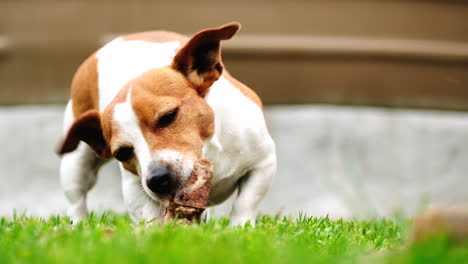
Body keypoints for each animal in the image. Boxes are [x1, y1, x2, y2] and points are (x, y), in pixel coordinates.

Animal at [58, 21, 278, 226]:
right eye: (121, 153)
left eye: (168, 116)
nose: (157, 180)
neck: (208, 150)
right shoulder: (135, 188)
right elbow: (150, 216)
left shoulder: (263, 163)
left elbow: (245, 204)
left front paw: (239, 228)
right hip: (75, 164)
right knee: (76, 202)